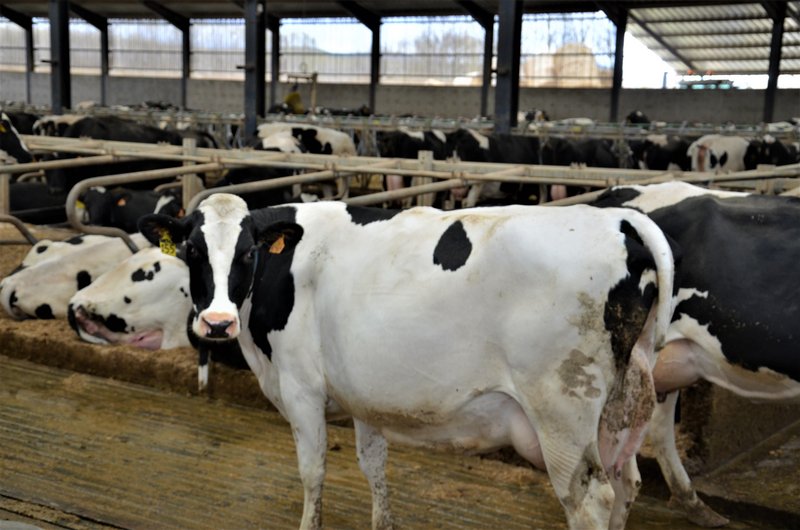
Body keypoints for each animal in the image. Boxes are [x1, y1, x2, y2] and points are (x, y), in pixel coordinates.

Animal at [139, 193, 676, 528]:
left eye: (248, 253)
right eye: (191, 250)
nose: (217, 323)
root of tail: (617, 219)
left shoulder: (300, 387)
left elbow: (313, 473)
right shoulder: (364, 395)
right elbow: (374, 468)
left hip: (562, 410)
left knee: (590, 500)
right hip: (621, 406)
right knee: (627, 484)